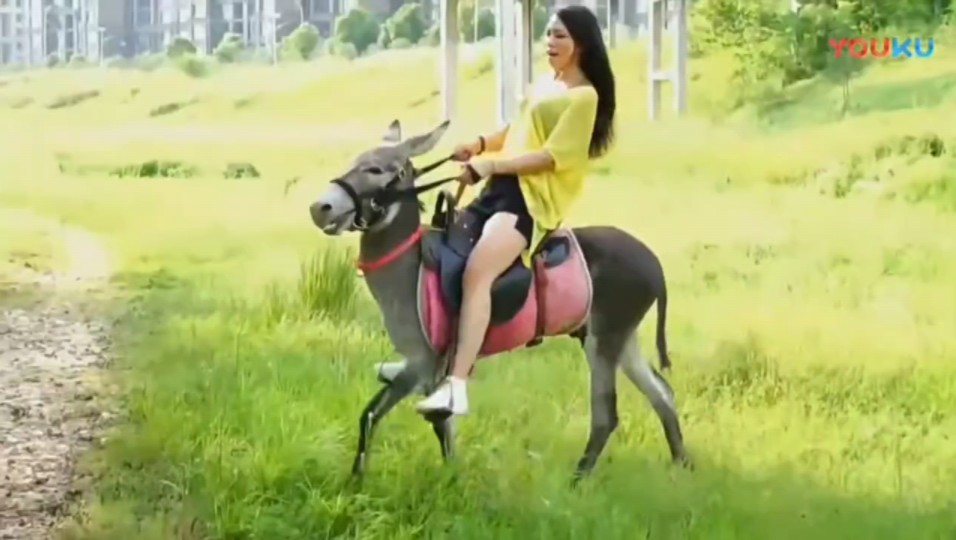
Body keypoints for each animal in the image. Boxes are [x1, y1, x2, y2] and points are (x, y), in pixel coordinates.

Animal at [308, 118, 691, 483]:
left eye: (375, 169)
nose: (319, 207)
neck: (412, 268)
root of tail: (653, 262)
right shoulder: (431, 369)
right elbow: (441, 425)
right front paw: (451, 475)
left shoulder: (421, 361)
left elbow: (373, 414)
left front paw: (357, 481)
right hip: (620, 335)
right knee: (661, 392)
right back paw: (681, 466)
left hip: (605, 338)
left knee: (606, 414)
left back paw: (577, 482)